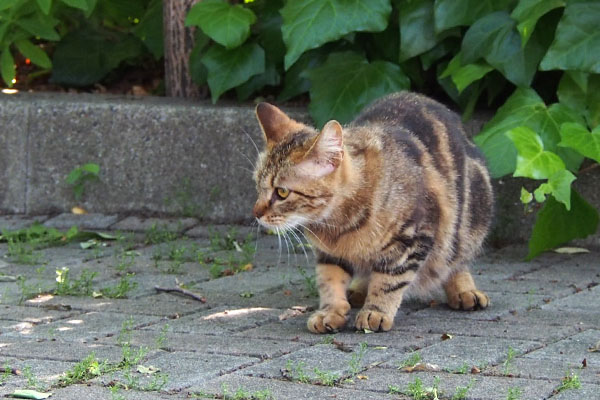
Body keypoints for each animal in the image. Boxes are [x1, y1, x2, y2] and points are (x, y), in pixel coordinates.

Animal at [252, 92, 492, 332]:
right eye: (258, 186)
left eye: (282, 192)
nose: (256, 213)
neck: (338, 227)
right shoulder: (329, 253)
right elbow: (329, 280)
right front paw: (330, 311)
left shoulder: (412, 238)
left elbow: (389, 281)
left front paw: (375, 311)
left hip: (470, 218)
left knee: (454, 260)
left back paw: (464, 290)